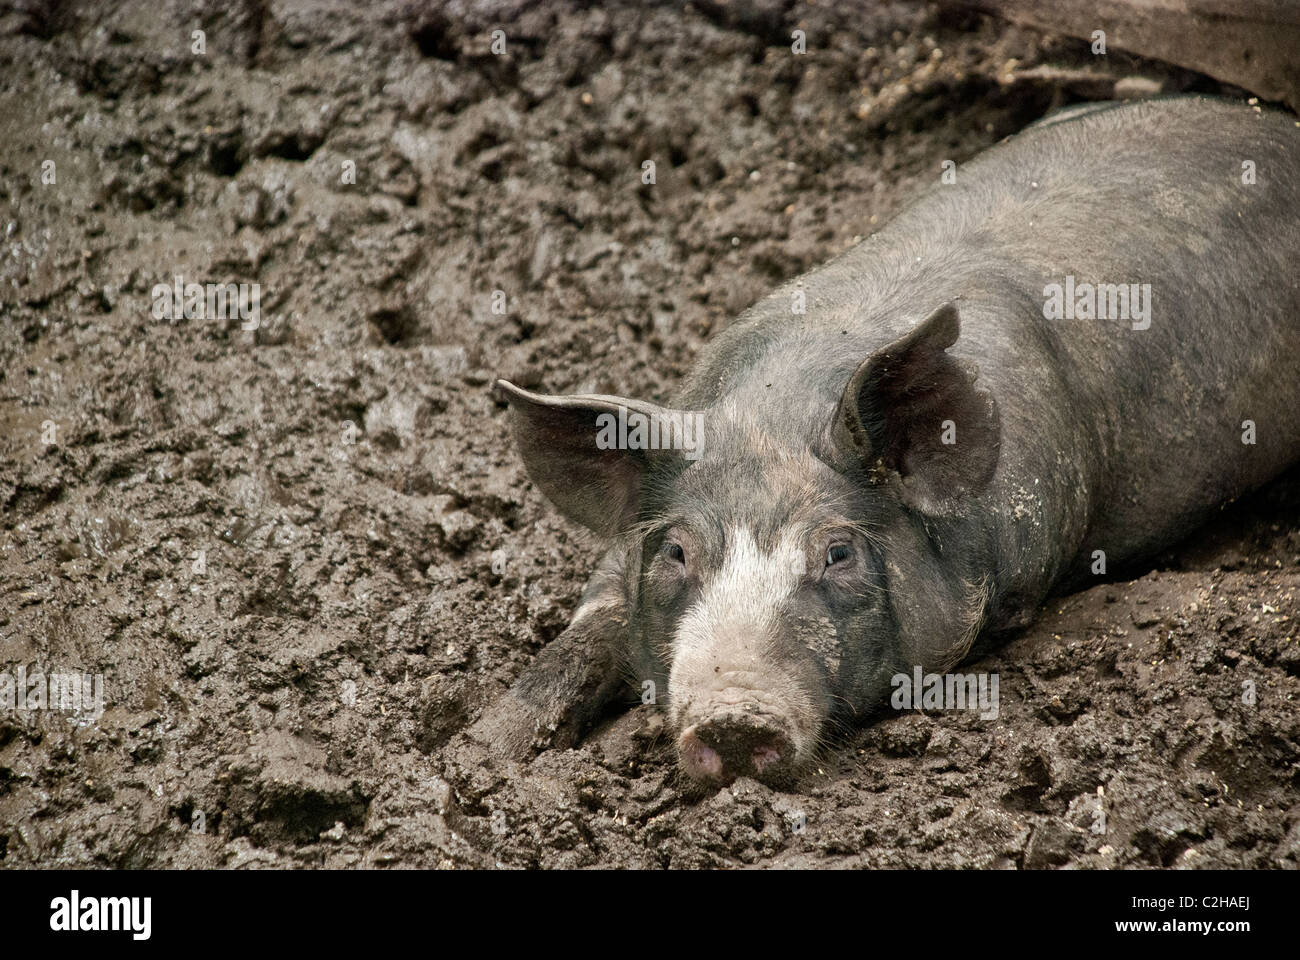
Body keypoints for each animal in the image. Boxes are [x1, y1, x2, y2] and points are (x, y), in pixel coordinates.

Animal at [474, 96, 1300, 788]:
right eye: (677, 551)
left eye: (838, 553)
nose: (734, 716)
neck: (776, 414)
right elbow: (588, 631)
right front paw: (479, 753)